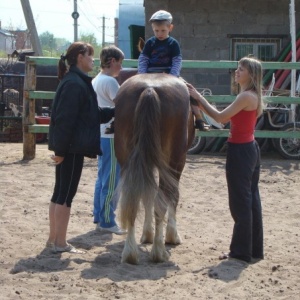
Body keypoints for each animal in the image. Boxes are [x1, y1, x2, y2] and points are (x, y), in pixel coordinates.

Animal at [113, 72, 196, 262]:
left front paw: (147, 234)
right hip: (175, 160)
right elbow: (172, 196)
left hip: (127, 160)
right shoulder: (176, 165)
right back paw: (158, 251)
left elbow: (147, 195)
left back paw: (130, 252)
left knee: (132, 198)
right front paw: (172, 235)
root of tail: (150, 89)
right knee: (163, 198)